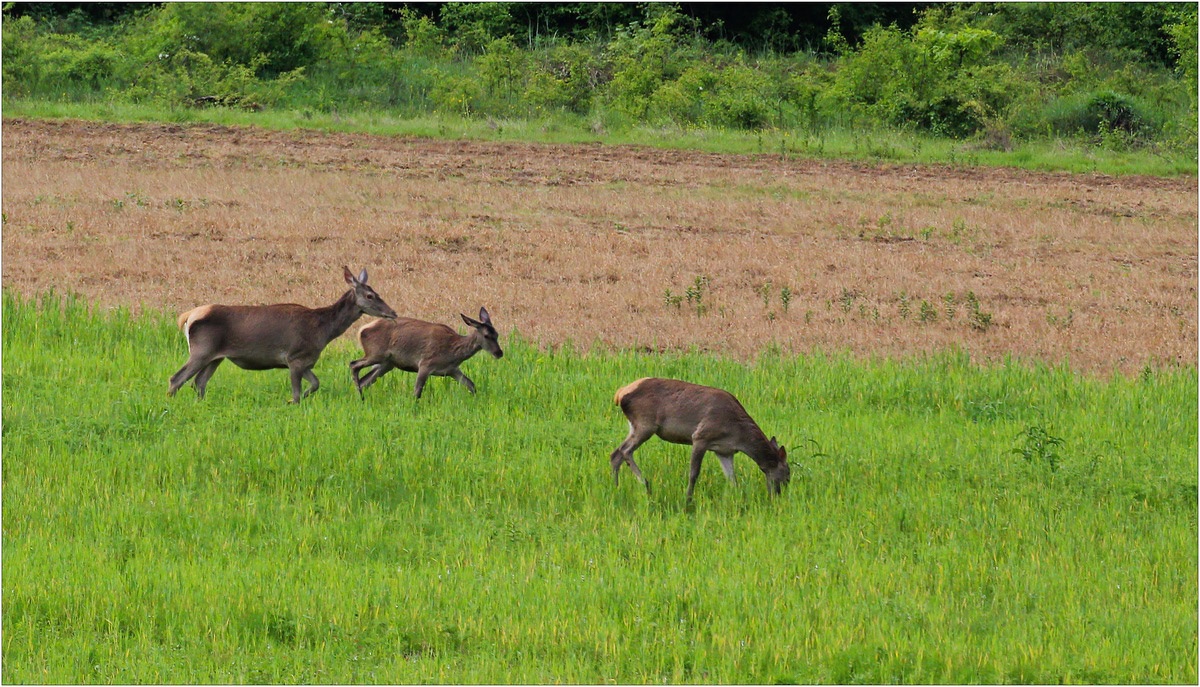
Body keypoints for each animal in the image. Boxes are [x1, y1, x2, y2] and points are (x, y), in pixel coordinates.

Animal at [166, 263, 398, 403]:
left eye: (376, 293)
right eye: (369, 295)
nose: (393, 312)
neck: (323, 330)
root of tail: (188, 316)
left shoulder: (305, 360)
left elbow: (315, 384)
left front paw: (303, 397)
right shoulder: (294, 357)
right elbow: (297, 392)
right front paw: (293, 401)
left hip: (216, 357)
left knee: (199, 382)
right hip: (202, 350)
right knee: (177, 378)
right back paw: (170, 403)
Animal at [348, 306, 501, 396]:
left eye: (497, 334)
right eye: (486, 335)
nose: (499, 353)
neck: (452, 352)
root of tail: (361, 330)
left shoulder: (452, 370)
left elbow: (471, 385)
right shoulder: (425, 364)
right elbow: (417, 392)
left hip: (387, 363)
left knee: (365, 380)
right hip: (375, 353)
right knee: (353, 364)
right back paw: (360, 397)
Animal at [614, 379, 792, 502]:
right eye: (787, 475)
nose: (778, 495)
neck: (739, 436)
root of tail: (619, 394)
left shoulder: (724, 451)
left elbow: (732, 479)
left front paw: (737, 499)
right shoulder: (701, 437)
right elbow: (694, 474)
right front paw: (688, 500)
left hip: (635, 426)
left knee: (615, 454)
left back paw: (616, 486)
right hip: (645, 424)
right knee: (625, 450)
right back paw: (645, 484)